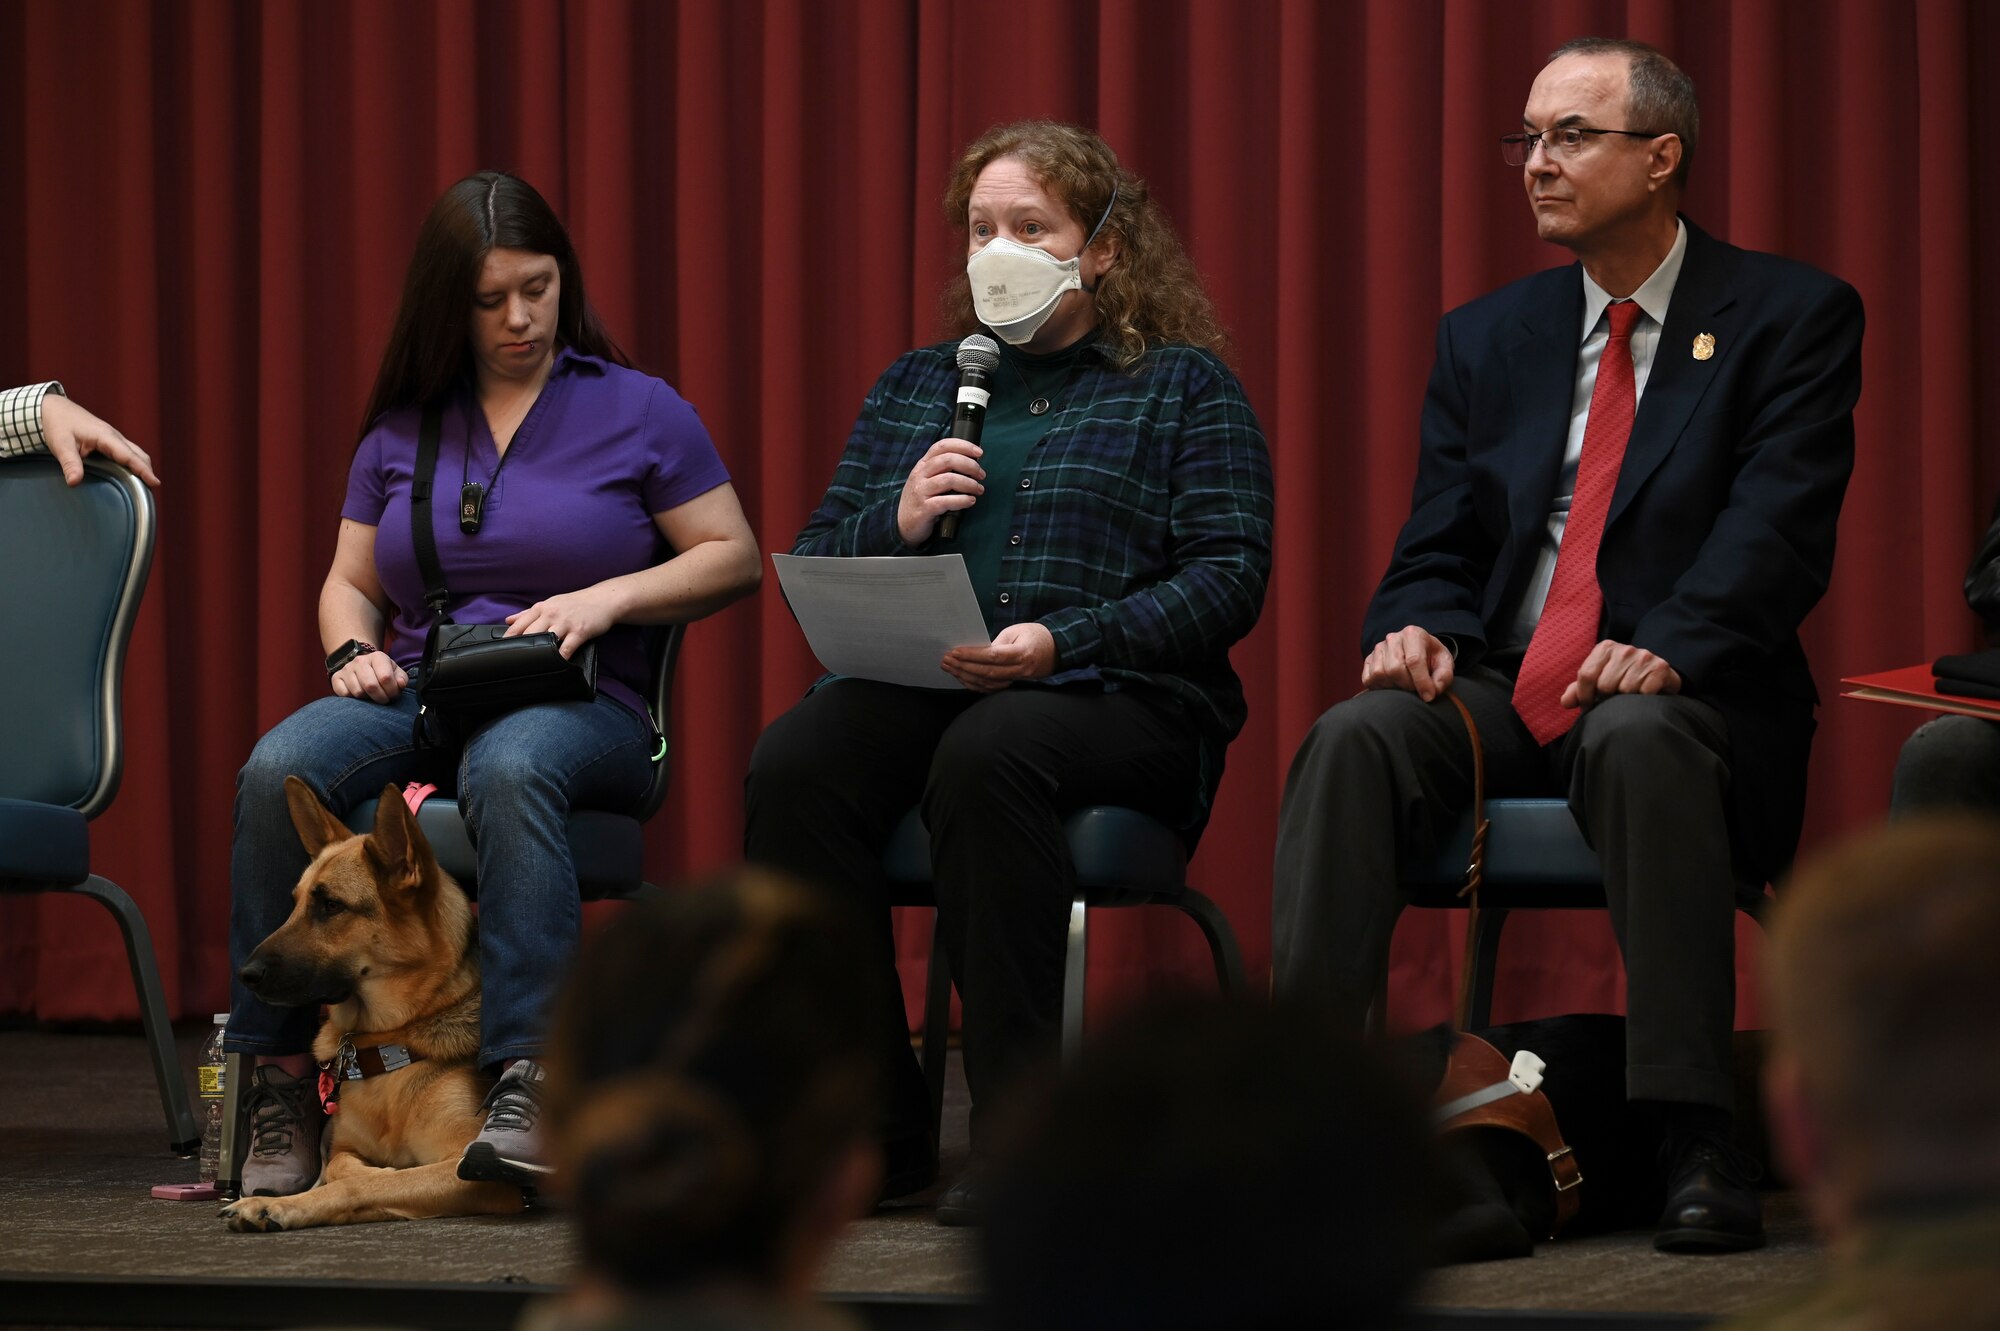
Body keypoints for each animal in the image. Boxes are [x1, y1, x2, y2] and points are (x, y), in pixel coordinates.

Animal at [219, 771, 524, 1231]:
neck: (390, 1039)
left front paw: (280, 1205)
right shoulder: (345, 1147)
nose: (245, 975)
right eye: (295, 904)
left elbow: (365, 1183)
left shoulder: (469, 1168)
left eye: (331, 905)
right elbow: (342, 1166)